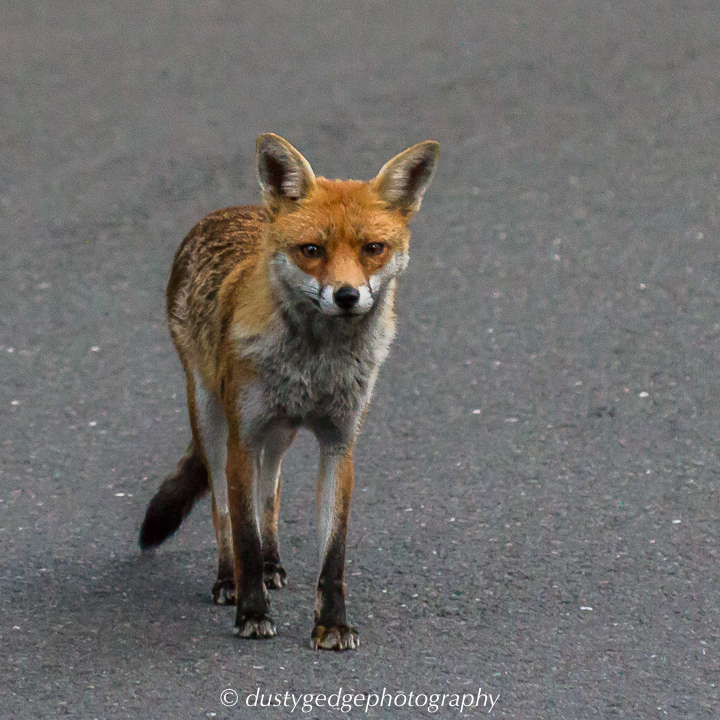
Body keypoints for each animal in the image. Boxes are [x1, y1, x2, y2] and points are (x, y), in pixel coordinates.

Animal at [138, 133, 439, 650]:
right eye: (312, 249)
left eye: (373, 248)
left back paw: (273, 563)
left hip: (280, 432)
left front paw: (332, 623)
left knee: (271, 491)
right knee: (222, 509)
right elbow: (243, 534)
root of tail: (234, 209)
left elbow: (332, 553)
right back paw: (228, 580)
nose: (346, 296)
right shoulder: (243, 438)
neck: (314, 366)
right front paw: (252, 612)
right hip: (213, 421)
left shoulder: (340, 441)